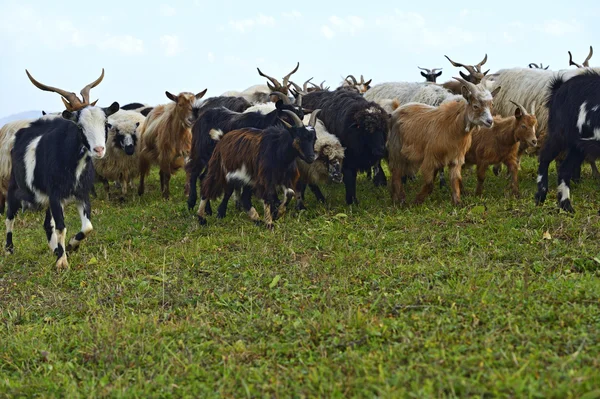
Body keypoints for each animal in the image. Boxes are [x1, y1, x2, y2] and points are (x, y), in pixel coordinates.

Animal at [5, 101, 120, 270]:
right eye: (80, 126)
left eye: (106, 123)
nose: (99, 150)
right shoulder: (55, 195)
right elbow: (61, 227)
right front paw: (62, 262)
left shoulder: (82, 194)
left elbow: (88, 227)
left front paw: (71, 246)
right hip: (15, 187)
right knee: (10, 217)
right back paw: (9, 249)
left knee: (47, 224)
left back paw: (55, 249)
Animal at [386, 76, 500, 206]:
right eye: (475, 106)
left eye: (491, 105)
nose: (490, 121)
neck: (452, 127)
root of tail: (395, 112)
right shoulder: (430, 158)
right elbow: (429, 183)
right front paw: (416, 202)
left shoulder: (455, 159)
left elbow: (455, 180)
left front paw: (458, 202)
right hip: (396, 150)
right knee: (396, 173)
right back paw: (399, 200)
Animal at [536, 70, 600, 214]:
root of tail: (559, 87)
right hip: (559, 133)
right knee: (545, 157)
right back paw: (541, 197)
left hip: (579, 145)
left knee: (565, 168)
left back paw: (565, 205)